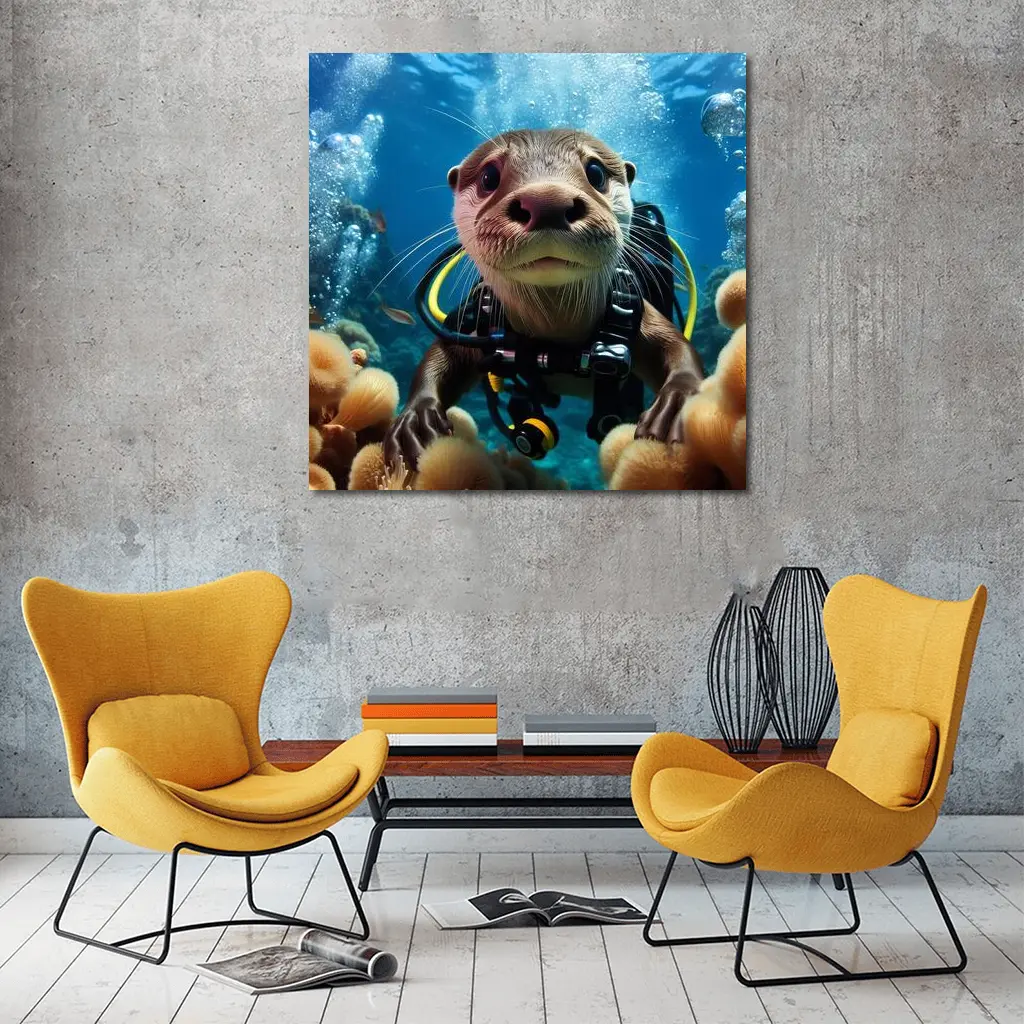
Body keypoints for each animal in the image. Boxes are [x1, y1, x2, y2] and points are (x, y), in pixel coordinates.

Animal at [383, 128, 703, 470]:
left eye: (596, 172)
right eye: (488, 176)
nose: (547, 200)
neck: (558, 334)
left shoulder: (631, 306)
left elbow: (676, 346)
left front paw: (679, 402)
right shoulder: (479, 321)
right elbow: (444, 354)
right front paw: (416, 419)